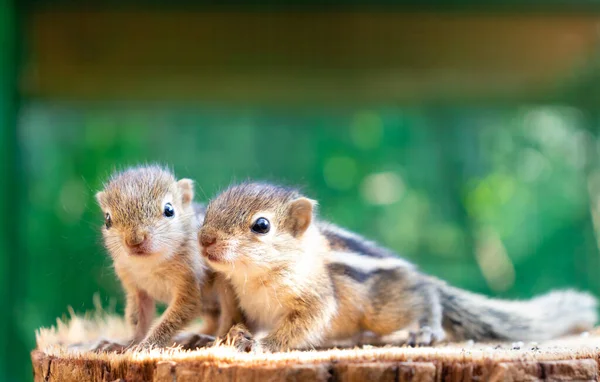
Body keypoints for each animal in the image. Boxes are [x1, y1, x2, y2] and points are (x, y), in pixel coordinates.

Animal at [96, 166, 241, 350]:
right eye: (107, 219)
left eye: (169, 210)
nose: (134, 240)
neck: (150, 264)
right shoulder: (135, 288)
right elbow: (138, 319)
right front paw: (126, 345)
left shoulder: (188, 281)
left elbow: (174, 317)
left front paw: (146, 345)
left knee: (231, 320)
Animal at [199, 182, 596, 352]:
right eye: (210, 209)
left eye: (261, 225)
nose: (204, 239)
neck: (253, 276)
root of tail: (414, 271)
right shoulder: (237, 300)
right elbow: (233, 321)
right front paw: (221, 337)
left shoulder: (315, 297)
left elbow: (303, 324)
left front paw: (264, 344)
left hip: (387, 308)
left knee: (428, 295)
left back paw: (427, 329)